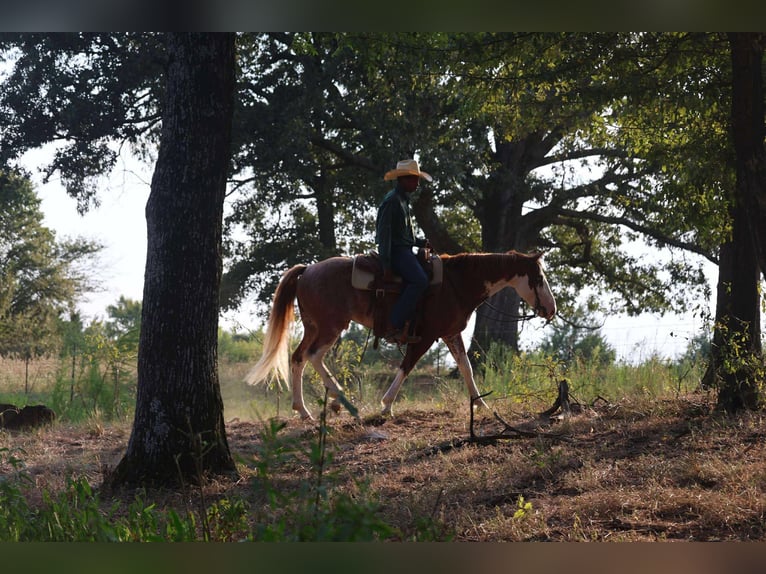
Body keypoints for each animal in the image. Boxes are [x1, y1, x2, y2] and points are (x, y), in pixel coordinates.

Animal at [245, 250, 556, 420]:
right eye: (539, 278)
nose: (552, 310)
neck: (456, 284)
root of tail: (308, 269)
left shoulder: (450, 334)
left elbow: (466, 367)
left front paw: (481, 404)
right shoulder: (428, 335)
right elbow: (407, 365)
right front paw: (386, 405)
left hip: (315, 327)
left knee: (299, 358)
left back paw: (305, 409)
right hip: (331, 326)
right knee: (313, 356)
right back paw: (339, 398)